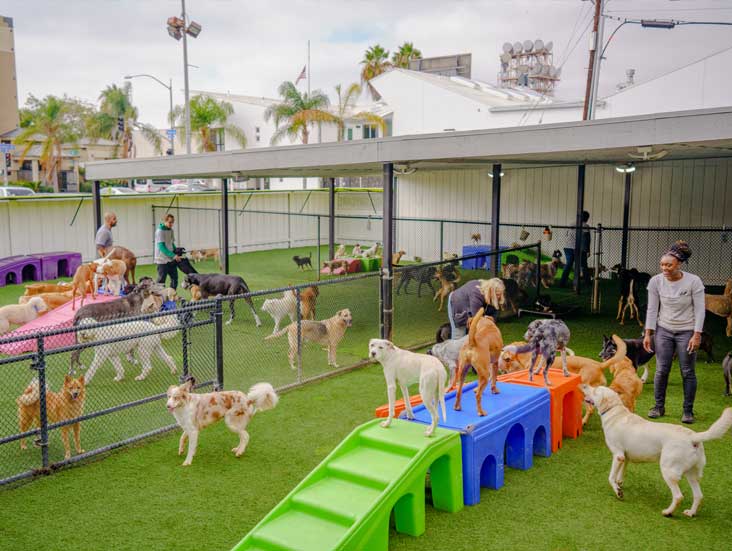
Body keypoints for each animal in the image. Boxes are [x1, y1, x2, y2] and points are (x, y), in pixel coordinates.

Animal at [584, 386, 732, 520]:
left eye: (595, 390)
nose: (584, 385)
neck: (615, 411)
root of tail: (693, 437)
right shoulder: (625, 457)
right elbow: (620, 474)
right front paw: (619, 485)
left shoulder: (618, 455)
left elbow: (610, 477)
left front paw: (618, 492)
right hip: (691, 474)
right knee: (698, 495)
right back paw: (691, 513)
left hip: (668, 470)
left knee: (678, 496)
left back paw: (667, 512)